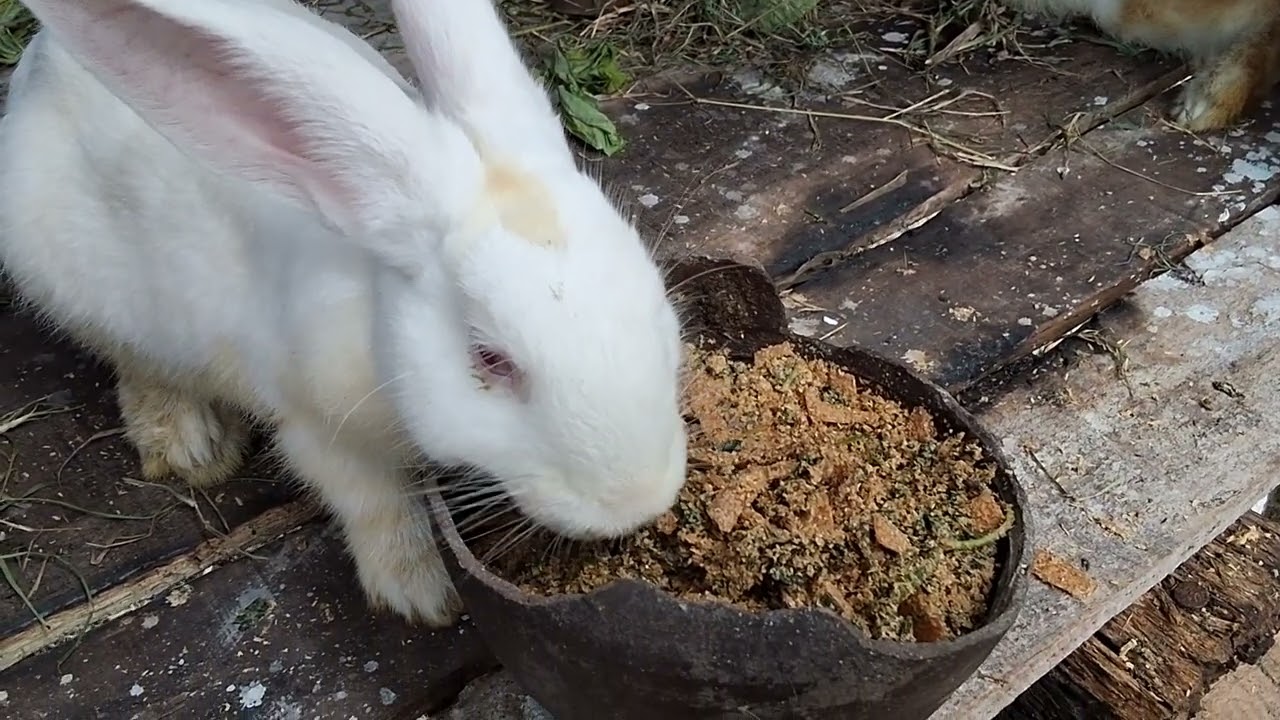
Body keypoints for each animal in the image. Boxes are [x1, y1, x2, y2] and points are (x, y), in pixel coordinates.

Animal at [0, 0, 689, 627]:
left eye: (655, 304)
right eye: (490, 359)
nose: (637, 501)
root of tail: (39, 60)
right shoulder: (320, 430)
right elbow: (376, 506)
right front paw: (422, 595)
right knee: (136, 363)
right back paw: (190, 445)